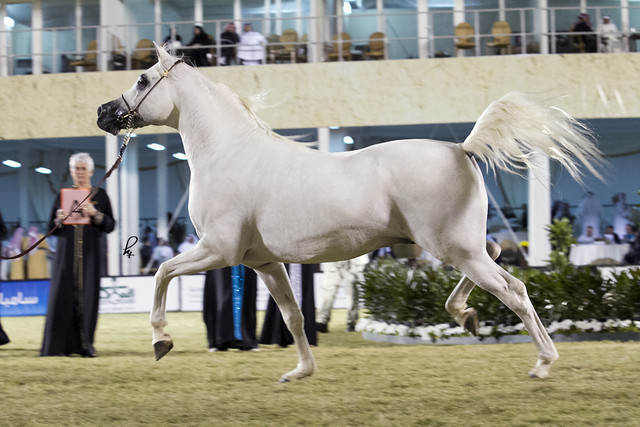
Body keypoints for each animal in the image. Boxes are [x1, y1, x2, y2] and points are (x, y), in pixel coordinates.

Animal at [97, 43, 602, 382]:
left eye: (142, 80)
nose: (103, 113)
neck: (229, 153)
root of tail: (462, 147)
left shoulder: (219, 250)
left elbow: (162, 271)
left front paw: (161, 340)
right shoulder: (263, 262)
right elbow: (294, 317)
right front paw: (301, 371)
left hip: (452, 247)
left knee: (514, 290)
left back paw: (543, 363)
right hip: (459, 245)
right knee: (497, 255)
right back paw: (466, 315)